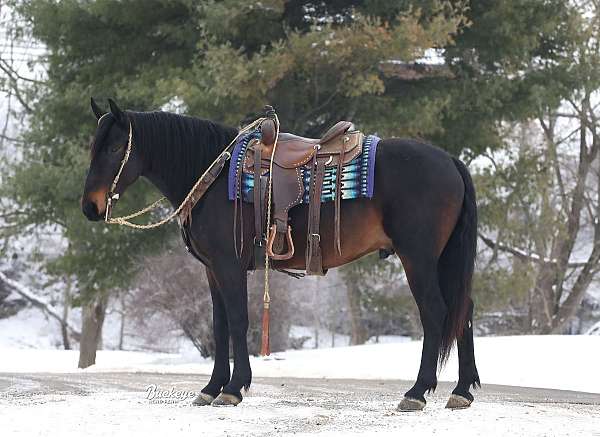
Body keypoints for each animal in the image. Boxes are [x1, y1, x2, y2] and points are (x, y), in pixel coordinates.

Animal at [82, 98, 480, 408]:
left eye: (115, 149)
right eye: (92, 147)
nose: (90, 207)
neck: (213, 174)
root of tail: (451, 161)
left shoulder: (229, 265)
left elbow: (238, 320)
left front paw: (233, 388)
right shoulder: (212, 270)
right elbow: (219, 325)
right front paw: (211, 388)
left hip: (419, 258)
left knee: (436, 311)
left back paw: (417, 392)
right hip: (443, 259)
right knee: (464, 310)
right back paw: (462, 391)